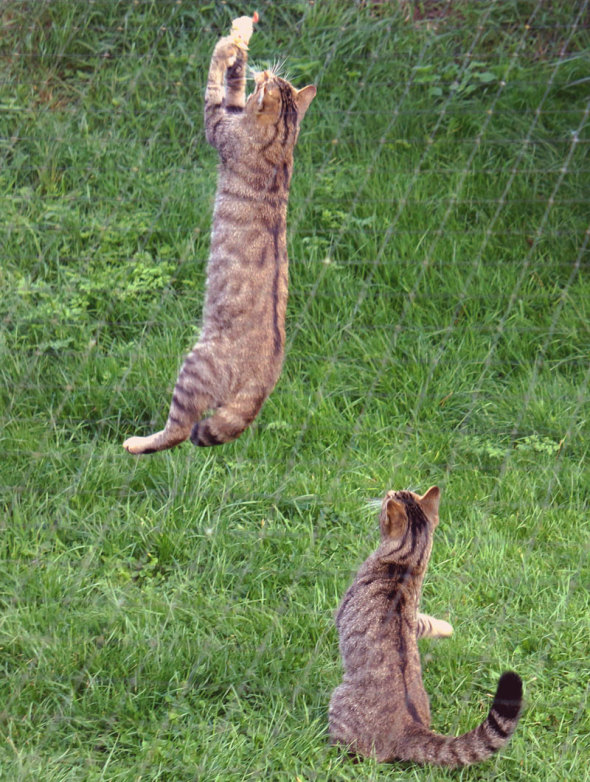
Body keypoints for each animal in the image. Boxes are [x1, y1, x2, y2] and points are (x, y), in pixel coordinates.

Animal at [123, 12, 320, 456]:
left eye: (269, 81)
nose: (265, 71)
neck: (282, 147)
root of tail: (265, 381)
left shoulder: (218, 123)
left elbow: (215, 85)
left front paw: (226, 49)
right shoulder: (233, 112)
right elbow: (231, 86)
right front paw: (240, 45)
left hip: (195, 366)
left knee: (179, 432)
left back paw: (137, 444)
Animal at [328, 486, 528, 768]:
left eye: (390, 498)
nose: (388, 489)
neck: (406, 562)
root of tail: (410, 727)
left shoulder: (342, 610)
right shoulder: (414, 618)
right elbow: (428, 622)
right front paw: (447, 628)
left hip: (339, 701)